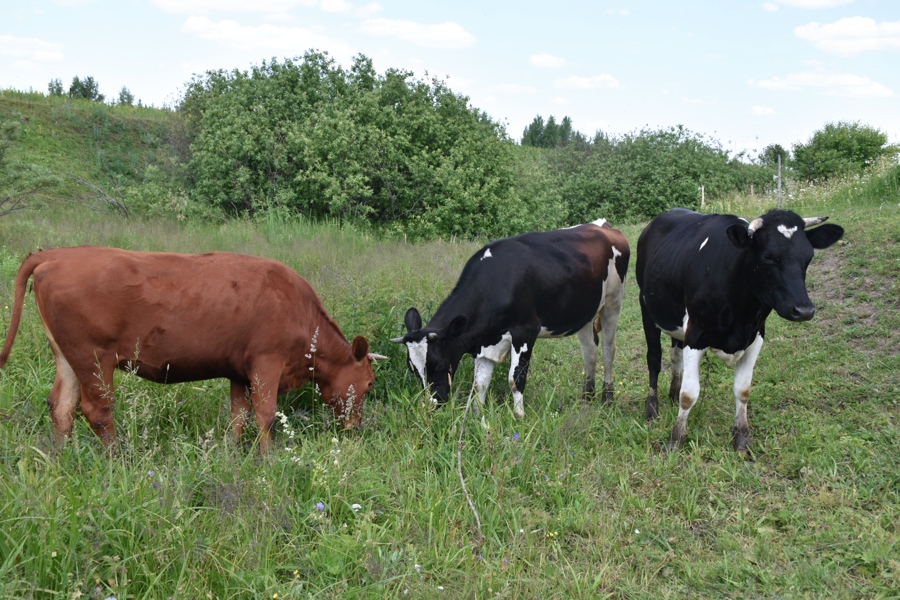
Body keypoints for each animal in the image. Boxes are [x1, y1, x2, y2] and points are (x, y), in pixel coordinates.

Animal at [0, 246, 384, 452]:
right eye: (369, 384)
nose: (356, 429)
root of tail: (57, 255)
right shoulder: (267, 363)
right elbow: (266, 414)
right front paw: (268, 458)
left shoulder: (239, 370)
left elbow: (239, 415)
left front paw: (232, 452)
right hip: (93, 357)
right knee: (98, 411)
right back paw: (116, 459)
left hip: (68, 357)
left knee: (62, 407)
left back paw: (64, 458)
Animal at [392, 218, 632, 420]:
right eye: (413, 369)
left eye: (440, 364)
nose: (432, 404)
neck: (495, 283)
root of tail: (604, 225)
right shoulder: (485, 342)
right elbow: (479, 385)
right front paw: (478, 418)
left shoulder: (525, 332)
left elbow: (515, 380)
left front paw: (519, 418)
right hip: (585, 313)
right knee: (590, 351)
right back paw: (586, 400)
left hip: (613, 302)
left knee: (608, 349)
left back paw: (607, 398)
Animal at [636, 210, 840, 450]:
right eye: (768, 256)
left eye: (808, 257)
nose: (804, 310)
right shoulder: (695, 335)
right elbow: (689, 394)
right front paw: (676, 439)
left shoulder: (756, 336)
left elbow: (742, 390)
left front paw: (742, 438)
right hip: (646, 308)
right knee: (654, 359)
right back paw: (652, 408)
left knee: (675, 355)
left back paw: (672, 392)